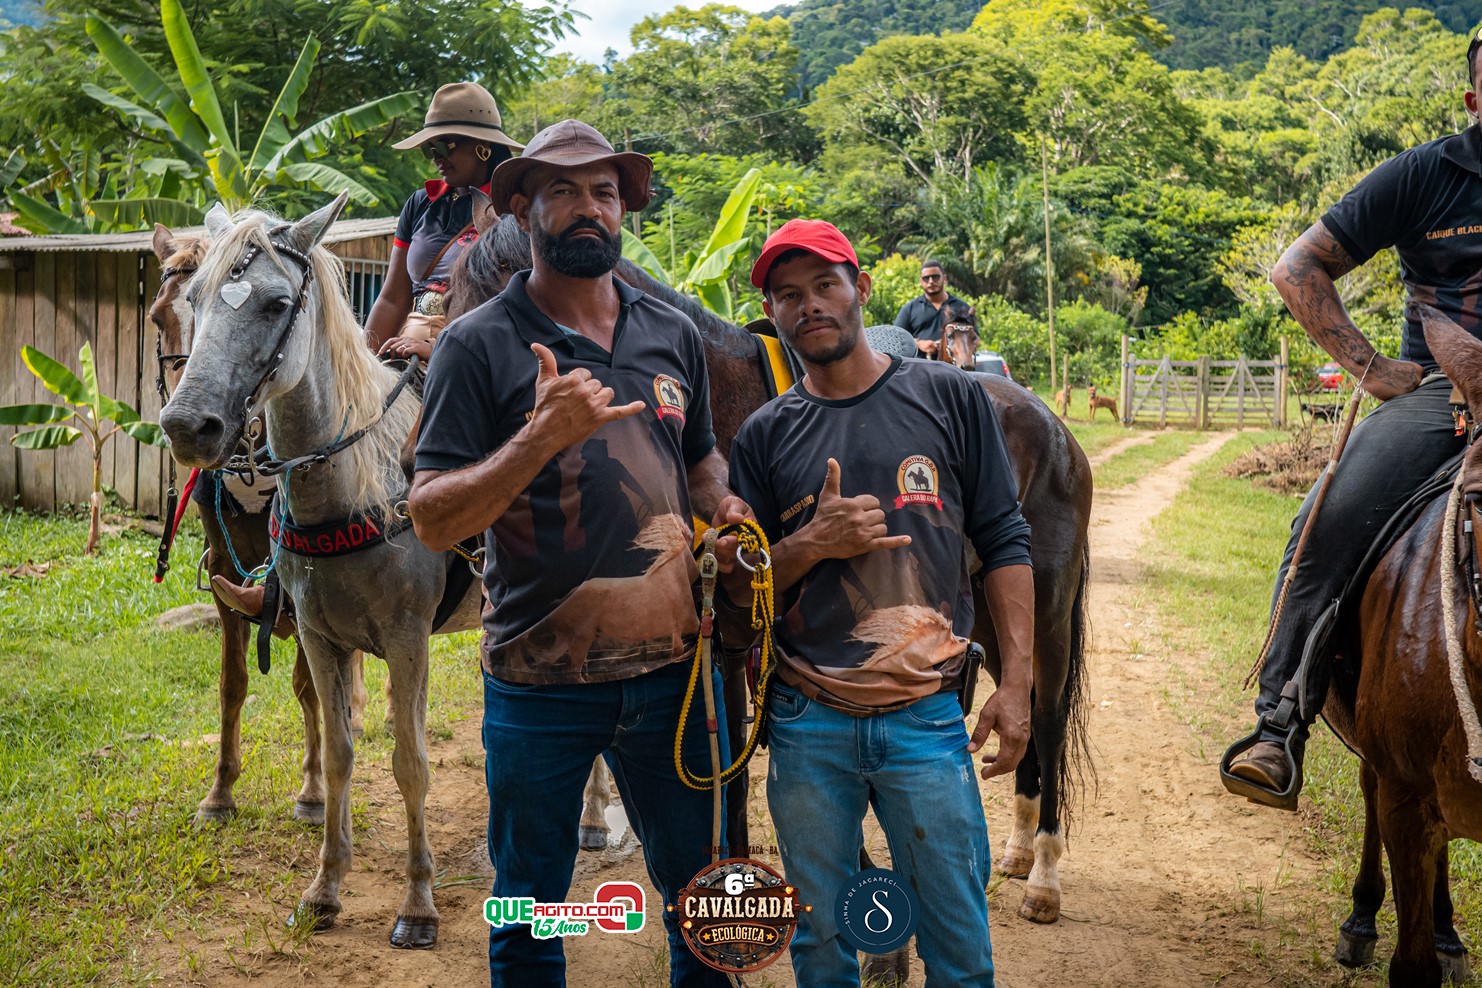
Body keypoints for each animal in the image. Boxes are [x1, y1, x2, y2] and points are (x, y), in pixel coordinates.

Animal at [148, 225, 375, 827]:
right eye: (159, 318)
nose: (189, 429)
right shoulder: (226, 569)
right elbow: (233, 684)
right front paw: (220, 791)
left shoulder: (301, 580)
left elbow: (308, 686)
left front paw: (314, 789)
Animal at [449, 204, 1096, 937]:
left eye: (498, 294)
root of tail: (1051, 424)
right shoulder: (720, 634)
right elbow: (721, 774)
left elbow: (728, 773)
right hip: (989, 607)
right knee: (1018, 700)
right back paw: (1016, 849)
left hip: (1046, 604)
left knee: (1044, 711)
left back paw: (1044, 874)